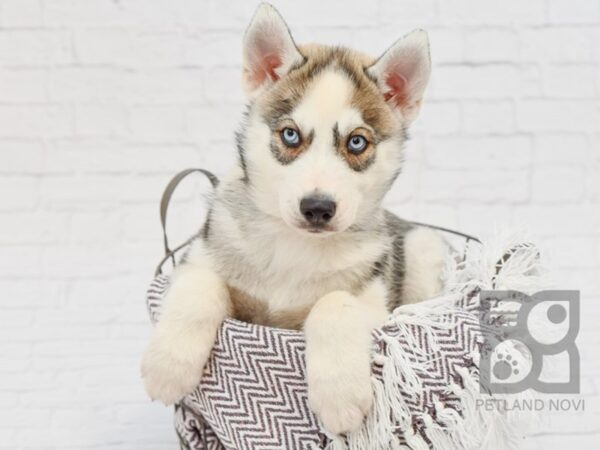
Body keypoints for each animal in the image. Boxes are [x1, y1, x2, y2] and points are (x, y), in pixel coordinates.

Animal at [142, 1, 446, 434]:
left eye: (357, 142)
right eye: (290, 135)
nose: (317, 207)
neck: (294, 247)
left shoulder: (374, 302)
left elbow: (335, 302)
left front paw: (339, 395)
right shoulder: (200, 257)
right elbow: (199, 285)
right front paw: (167, 366)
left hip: (424, 244)